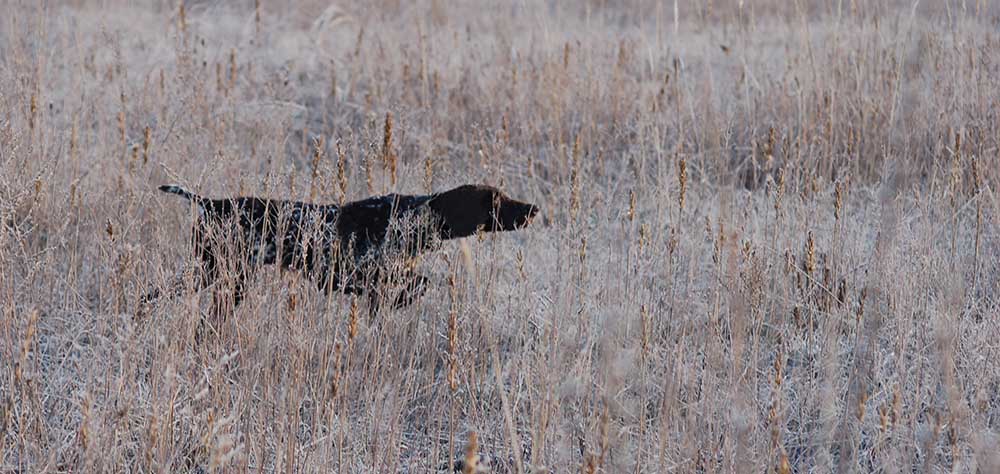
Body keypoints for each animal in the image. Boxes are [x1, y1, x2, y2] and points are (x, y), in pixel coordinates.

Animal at [141, 183, 540, 316]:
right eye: (496, 200)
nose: (533, 209)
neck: (410, 216)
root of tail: (210, 203)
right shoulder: (346, 276)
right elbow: (413, 284)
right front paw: (398, 300)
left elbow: (415, 282)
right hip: (218, 273)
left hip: (222, 277)